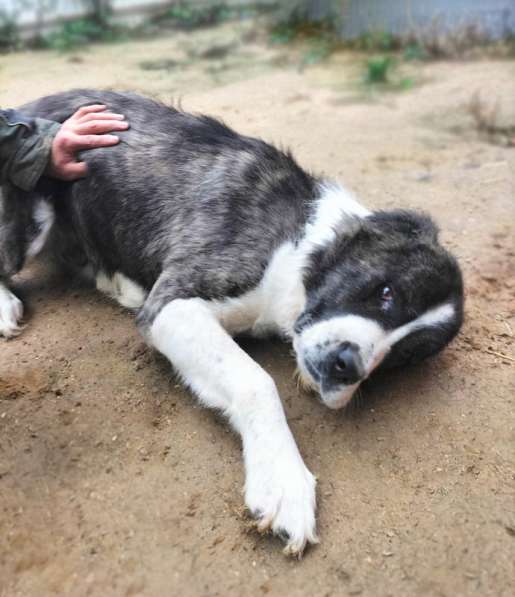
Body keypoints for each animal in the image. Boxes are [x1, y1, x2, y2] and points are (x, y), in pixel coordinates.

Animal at [0, 91, 466, 556]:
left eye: (403, 356)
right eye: (386, 293)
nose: (347, 367)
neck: (294, 246)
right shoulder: (173, 305)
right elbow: (256, 380)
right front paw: (283, 479)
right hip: (32, 216)